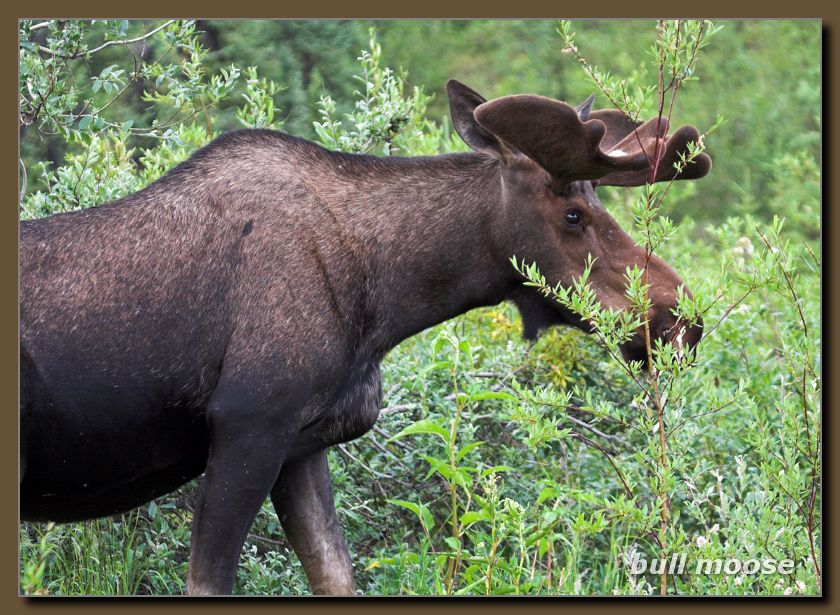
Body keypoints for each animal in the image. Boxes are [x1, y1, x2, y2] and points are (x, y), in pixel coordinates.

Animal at [19, 79, 710, 595]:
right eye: (572, 214)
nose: (684, 318)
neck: (386, 299)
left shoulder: (300, 445)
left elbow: (335, 575)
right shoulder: (249, 425)